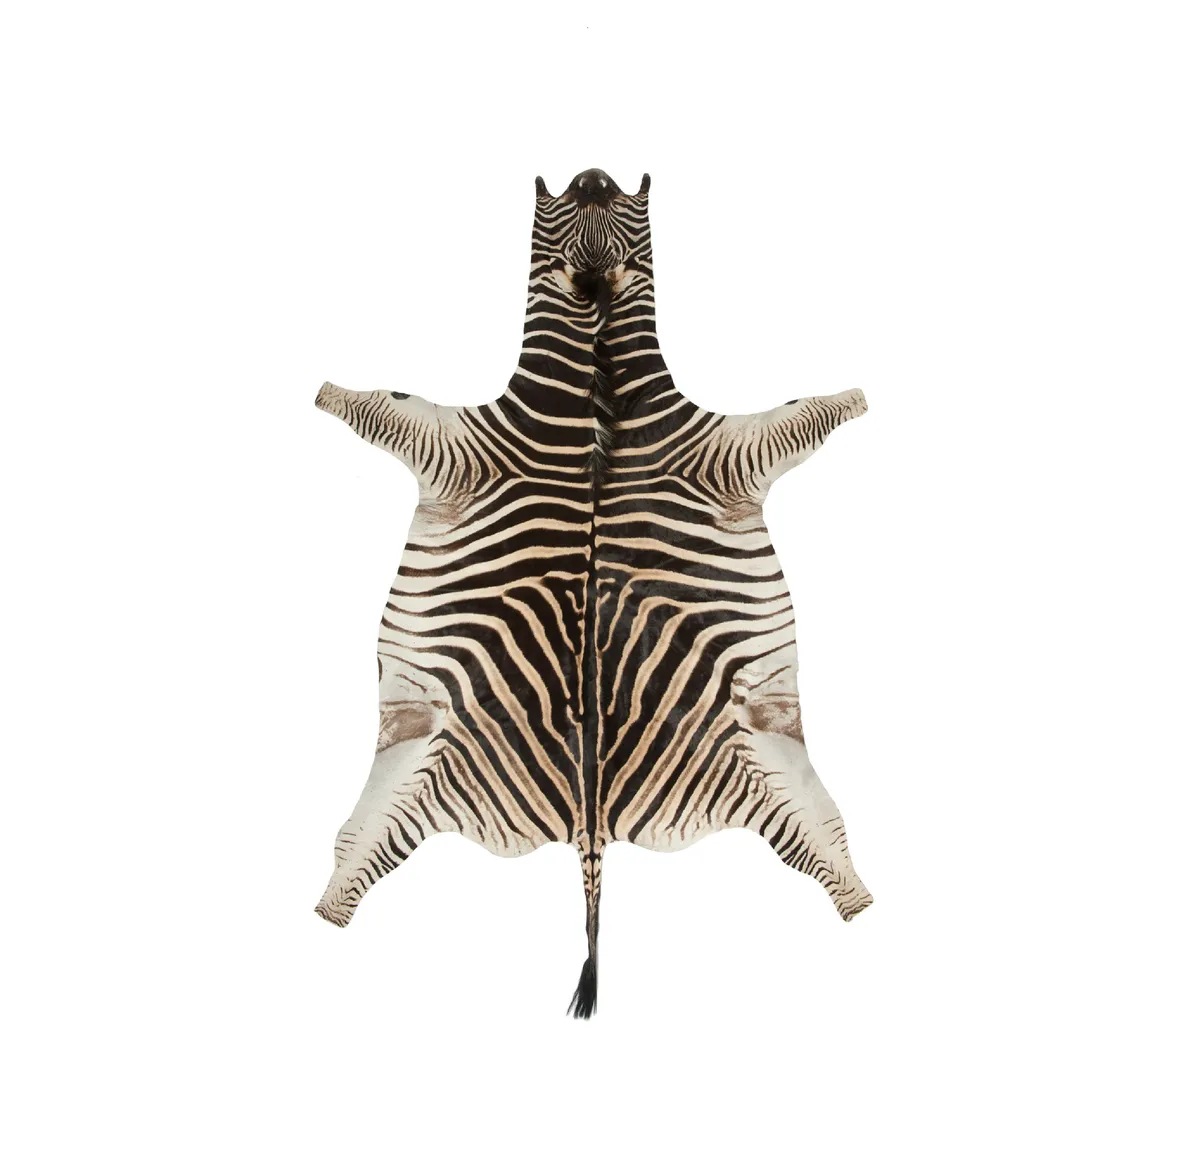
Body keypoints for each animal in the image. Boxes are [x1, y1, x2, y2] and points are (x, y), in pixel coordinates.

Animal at [314, 168, 872, 1017]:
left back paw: (858, 896)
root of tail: (590, 822)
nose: (594, 175)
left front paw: (855, 398)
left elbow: (801, 414)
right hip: (417, 764)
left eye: (622, 203)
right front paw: (325, 392)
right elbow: (382, 402)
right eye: (565, 202)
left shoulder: (724, 450)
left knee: (824, 841)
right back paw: (328, 904)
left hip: (764, 762)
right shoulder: (460, 444)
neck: (595, 379)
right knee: (357, 849)